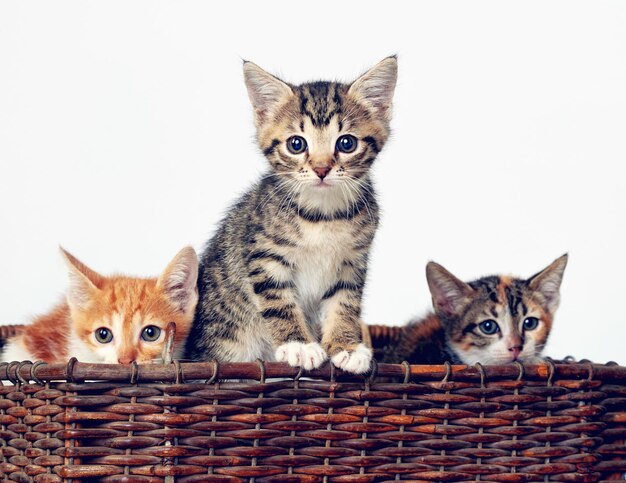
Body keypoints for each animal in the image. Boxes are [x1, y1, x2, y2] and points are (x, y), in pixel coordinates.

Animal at [185, 56, 398, 374]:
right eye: (296, 144)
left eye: (346, 143)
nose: (321, 169)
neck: (323, 216)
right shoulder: (265, 257)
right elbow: (279, 301)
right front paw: (299, 345)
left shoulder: (351, 263)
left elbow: (344, 303)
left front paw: (346, 346)